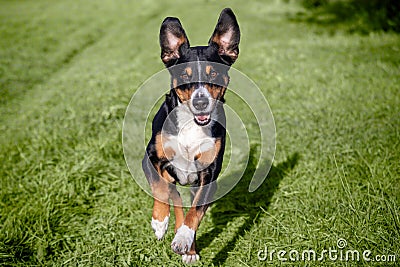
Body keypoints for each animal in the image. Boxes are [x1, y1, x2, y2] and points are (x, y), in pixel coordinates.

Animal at [141, 7, 239, 264]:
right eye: (184, 76)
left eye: (214, 73)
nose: (201, 102)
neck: (191, 124)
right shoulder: (150, 157)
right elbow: (159, 188)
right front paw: (159, 222)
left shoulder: (209, 173)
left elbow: (195, 213)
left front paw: (185, 239)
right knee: (173, 196)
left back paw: (188, 247)